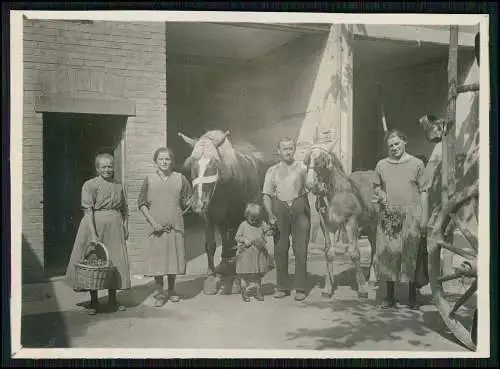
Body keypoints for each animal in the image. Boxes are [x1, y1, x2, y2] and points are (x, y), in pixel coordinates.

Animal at [179, 129, 268, 294]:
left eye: (214, 163)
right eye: (191, 163)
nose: (198, 203)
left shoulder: (235, 217)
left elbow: (234, 243)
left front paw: (234, 280)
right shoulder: (208, 217)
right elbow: (210, 245)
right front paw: (211, 277)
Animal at [302, 142, 376, 298]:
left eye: (321, 160)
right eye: (306, 160)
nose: (311, 185)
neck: (336, 193)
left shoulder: (351, 222)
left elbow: (354, 253)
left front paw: (362, 289)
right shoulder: (328, 225)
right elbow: (329, 253)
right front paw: (328, 289)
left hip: (375, 225)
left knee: (375, 249)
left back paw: (372, 279)